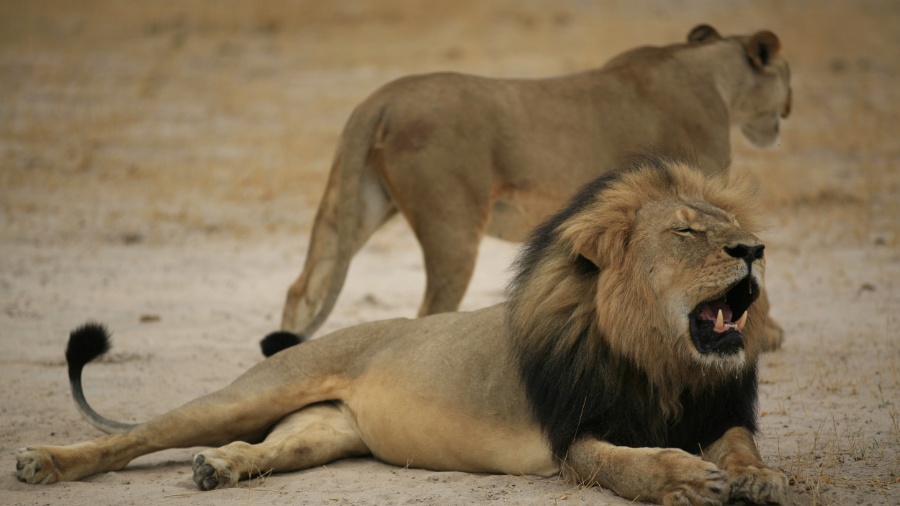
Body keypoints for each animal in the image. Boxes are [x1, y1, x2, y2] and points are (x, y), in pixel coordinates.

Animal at [15, 157, 788, 502]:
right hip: (252, 392)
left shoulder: (715, 408)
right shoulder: (572, 437)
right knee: (135, 437)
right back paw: (45, 462)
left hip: (323, 430)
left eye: (733, 227)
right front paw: (686, 477)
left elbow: (741, 445)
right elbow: (630, 463)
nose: (755, 249)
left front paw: (757, 478)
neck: (662, 361)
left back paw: (222, 467)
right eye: (688, 232)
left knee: (268, 446)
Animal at [278, 22, 792, 348]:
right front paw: (765, 335)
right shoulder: (697, 190)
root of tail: (381, 97)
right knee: (429, 311)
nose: (788, 109)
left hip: (356, 204)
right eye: (786, 74)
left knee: (303, 286)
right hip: (452, 225)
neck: (714, 76)